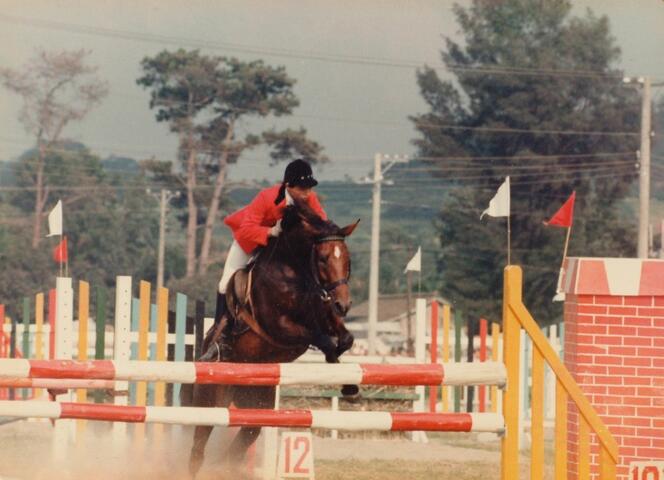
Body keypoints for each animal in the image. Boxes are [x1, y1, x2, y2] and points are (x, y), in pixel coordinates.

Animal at [187, 199, 360, 476]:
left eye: (348, 259)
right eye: (323, 259)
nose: (342, 305)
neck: (295, 273)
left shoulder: (324, 314)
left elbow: (344, 340)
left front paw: (350, 387)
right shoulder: (279, 327)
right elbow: (322, 339)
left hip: (257, 405)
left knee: (242, 441)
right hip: (210, 401)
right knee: (198, 447)